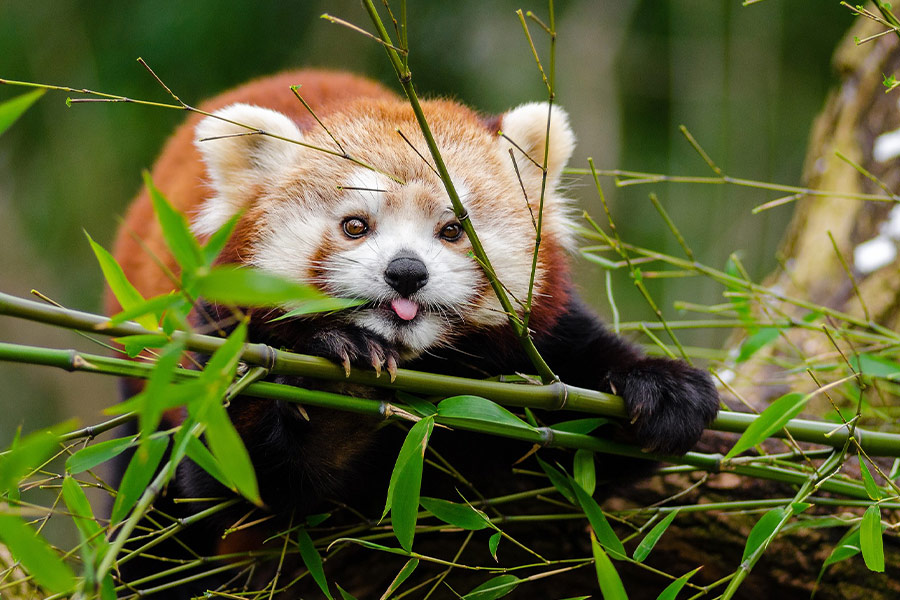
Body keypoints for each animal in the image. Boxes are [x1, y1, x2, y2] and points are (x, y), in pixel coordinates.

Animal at [109, 69, 719, 597]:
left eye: (452, 230)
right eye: (355, 225)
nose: (406, 271)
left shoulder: (542, 347)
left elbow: (581, 434)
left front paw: (666, 389)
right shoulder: (224, 346)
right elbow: (230, 479)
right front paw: (340, 384)